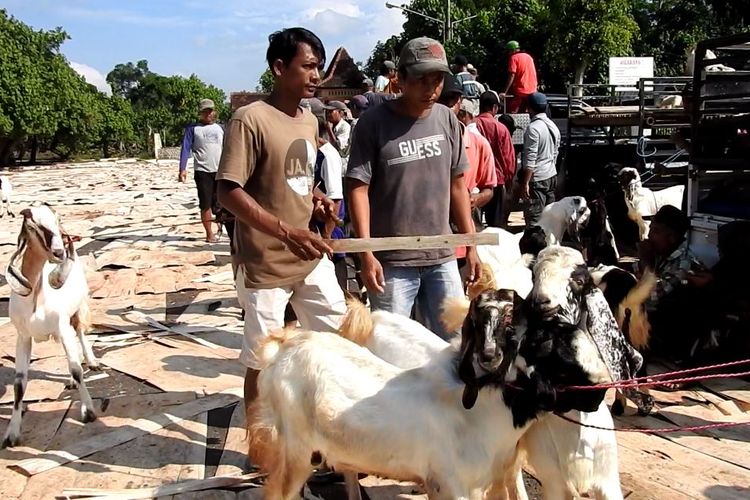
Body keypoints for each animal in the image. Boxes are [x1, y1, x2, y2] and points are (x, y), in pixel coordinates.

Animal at [1, 205, 100, 448]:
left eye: (57, 221)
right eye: (33, 225)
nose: (59, 252)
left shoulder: (62, 326)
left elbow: (77, 368)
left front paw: (88, 411)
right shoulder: (23, 336)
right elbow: (19, 384)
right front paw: (12, 434)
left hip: (77, 309)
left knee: (80, 334)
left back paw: (92, 362)